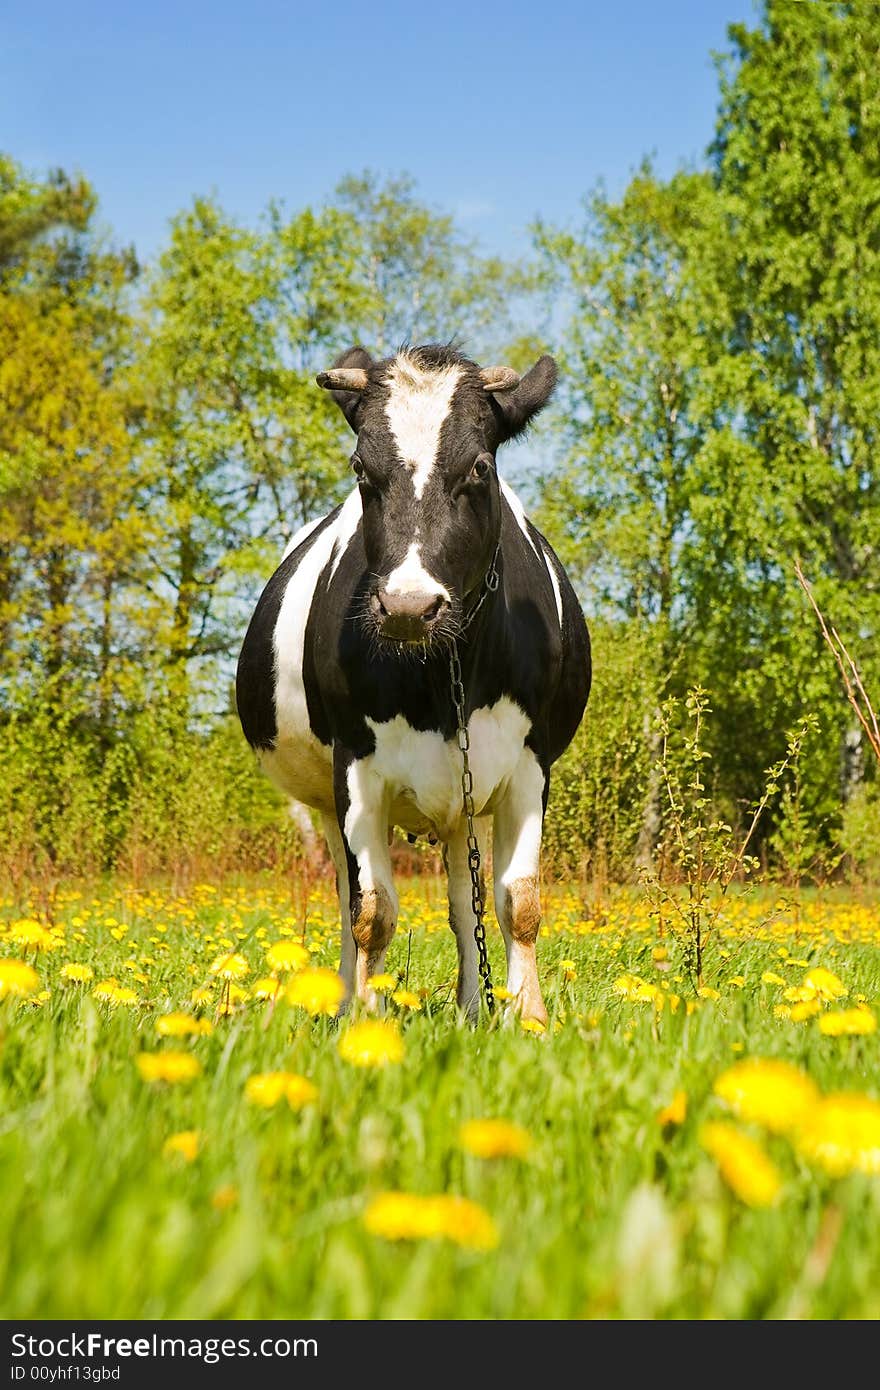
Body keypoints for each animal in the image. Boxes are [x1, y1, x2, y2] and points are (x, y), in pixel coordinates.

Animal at [234, 344, 589, 1023]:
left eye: (480, 465)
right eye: (360, 467)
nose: (407, 606)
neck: (445, 679)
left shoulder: (530, 764)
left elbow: (518, 902)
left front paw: (528, 1018)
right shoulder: (354, 767)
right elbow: (372, 912)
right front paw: (364, 1021)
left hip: (467, 800)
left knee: (463, 899)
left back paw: (474, 1007)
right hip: (327, 801)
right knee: (348, 900)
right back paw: (348, 997)